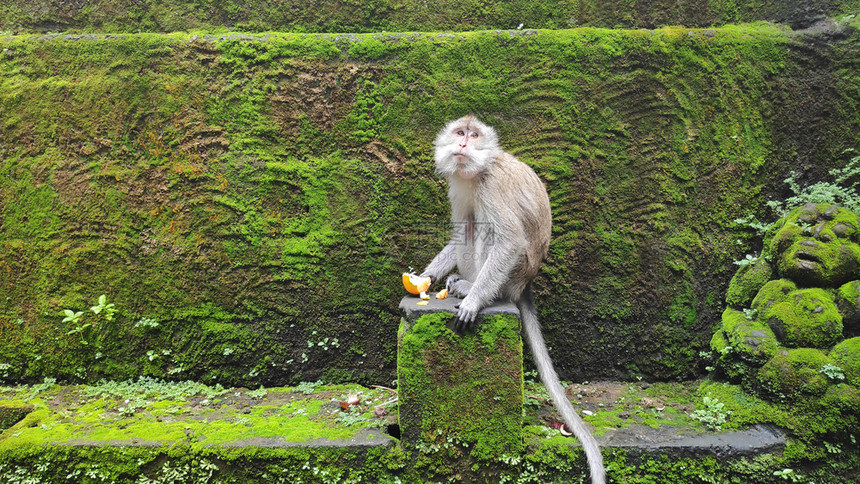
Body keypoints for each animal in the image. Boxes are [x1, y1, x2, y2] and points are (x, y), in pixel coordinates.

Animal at [418, 115, 604, 482]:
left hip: (514, 272)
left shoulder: (491, 188)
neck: (475, 173)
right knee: (468, 222)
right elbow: (457, 233)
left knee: (484, 228)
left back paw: (472, 288)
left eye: (474, 136)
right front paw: (423, 278)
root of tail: (525, 284)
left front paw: (473, 302)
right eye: (459, 133)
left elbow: (508, 238)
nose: (463, 144)